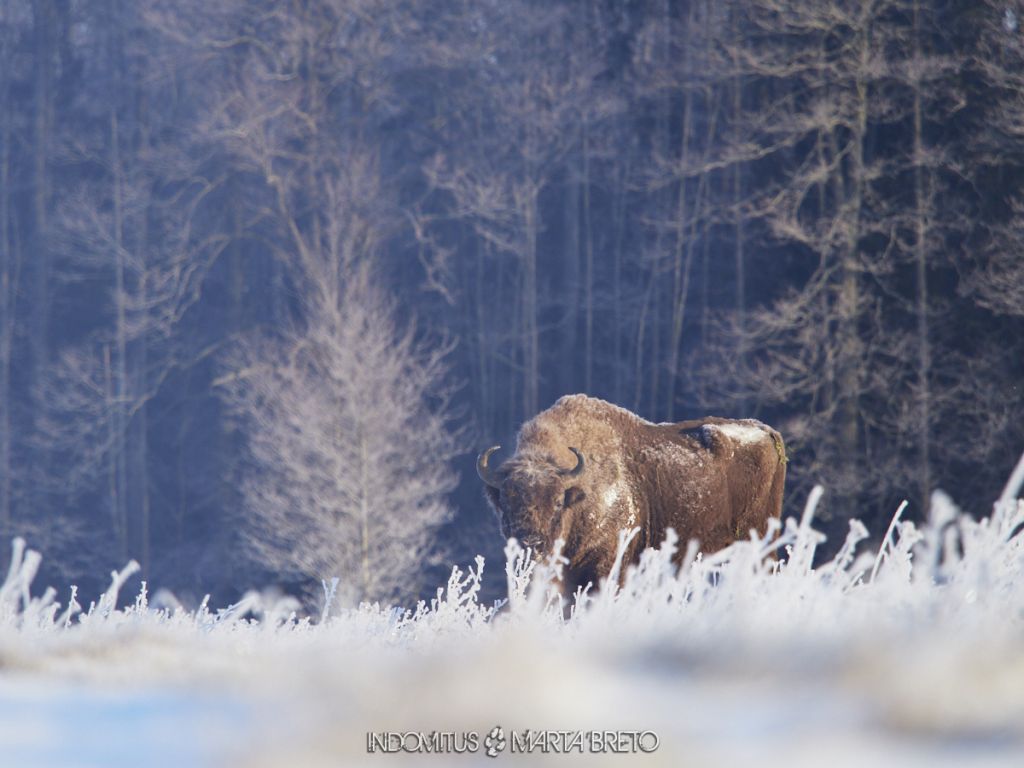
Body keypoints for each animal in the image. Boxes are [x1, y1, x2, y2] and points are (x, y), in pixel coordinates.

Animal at [475, 393, 786, 598]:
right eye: (505, 503)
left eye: (557, 503)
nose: (530, 544)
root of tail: (767, 431)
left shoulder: (607, 565)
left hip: (760, 541)